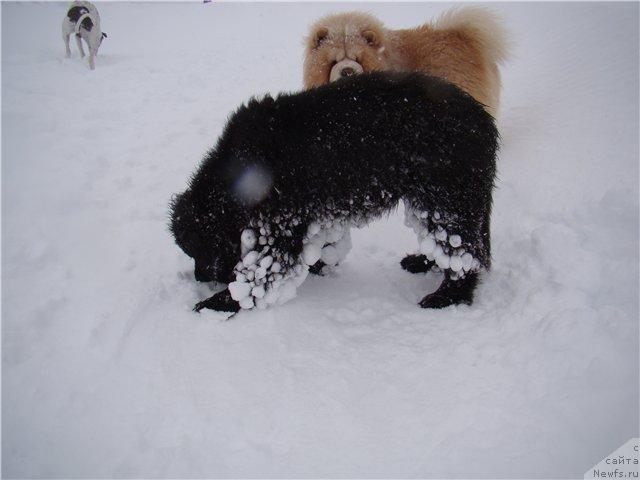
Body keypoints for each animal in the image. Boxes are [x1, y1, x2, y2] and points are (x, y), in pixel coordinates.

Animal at [171, 70, 500, 312]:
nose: (202, 278)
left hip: (447, 198)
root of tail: (483, 120)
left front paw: (220, 302)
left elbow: (261, 272)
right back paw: (423, 262)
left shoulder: (278, 223)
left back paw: (447, 297)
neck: (241, 169)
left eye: (202, 248)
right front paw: (320, 264)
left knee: (463, 255)